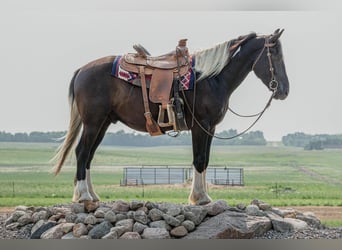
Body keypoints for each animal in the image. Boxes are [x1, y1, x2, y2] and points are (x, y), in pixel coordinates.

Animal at [52, 29, 288, 205]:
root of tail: (82, 70)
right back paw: (83, 196)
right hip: (93, 122)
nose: (284, 90)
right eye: (275, 54)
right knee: (82, 152)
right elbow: (199, 159)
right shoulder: (200, 126)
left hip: (103, 123)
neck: (212, 78)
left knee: (89, 155)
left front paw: (203, 196)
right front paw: (199, 198)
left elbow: (205, 160)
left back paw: (92, 195)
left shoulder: (210, 128)